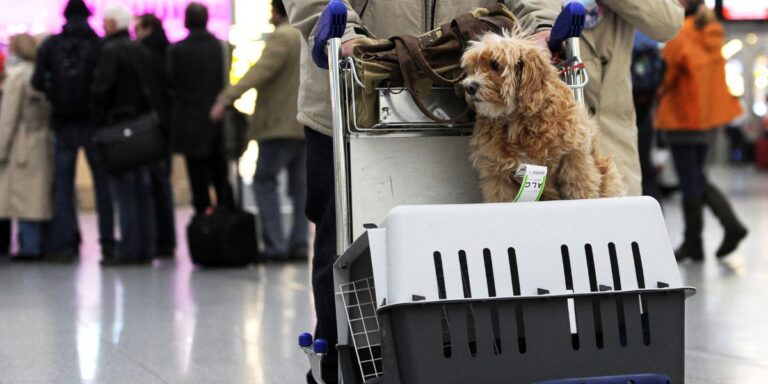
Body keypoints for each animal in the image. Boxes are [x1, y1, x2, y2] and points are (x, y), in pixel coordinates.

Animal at [462, 30, 624, 201]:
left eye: (495, 64)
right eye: (473, 67)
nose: (469, 87)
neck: (518, 120)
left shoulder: (575, 157)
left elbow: (581, 189)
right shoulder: (498, 176)